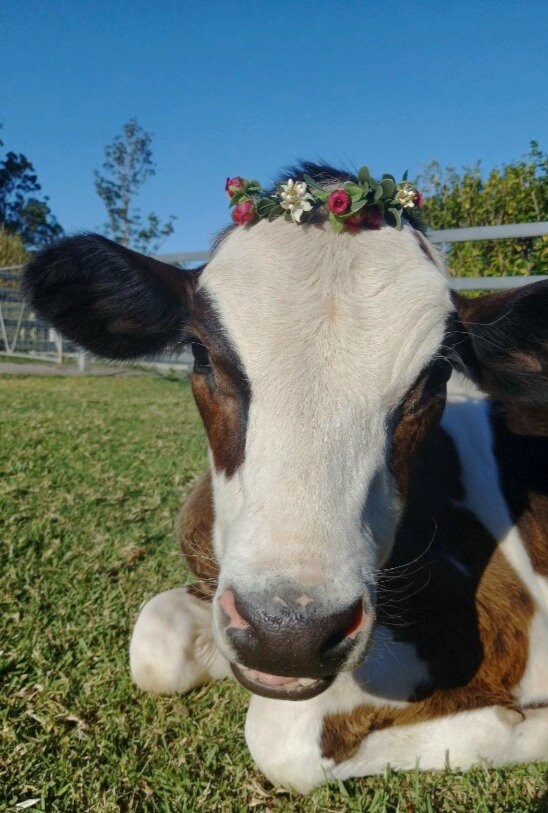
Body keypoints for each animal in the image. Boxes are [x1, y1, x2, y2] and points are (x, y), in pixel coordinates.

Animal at [23, 162, 544, 788]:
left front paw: (516, 723)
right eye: (201, 354)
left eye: (435, 378)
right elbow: (155, 640)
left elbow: (283, 735)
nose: (288, 633)